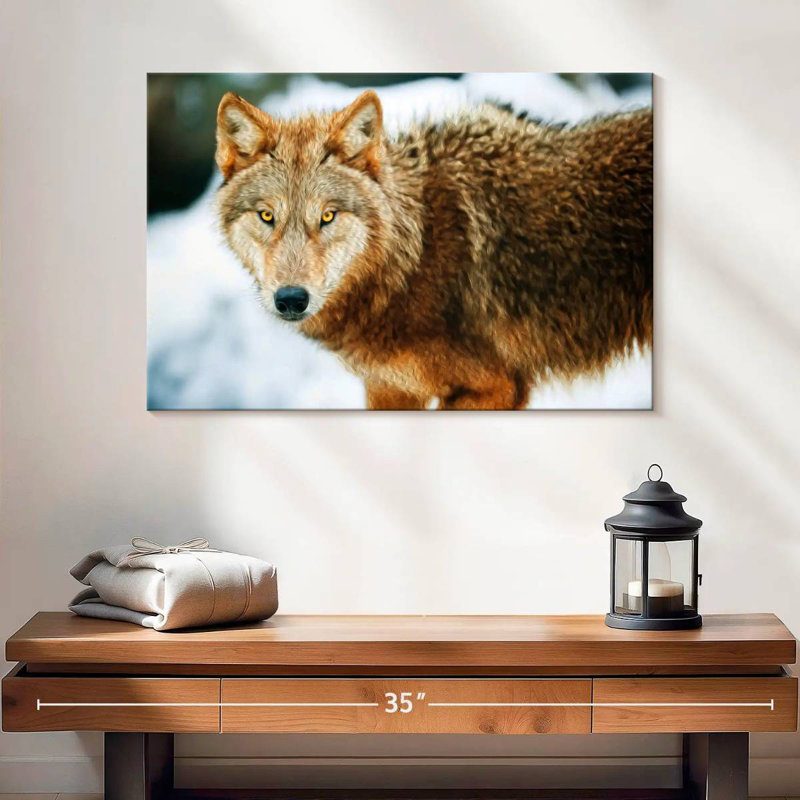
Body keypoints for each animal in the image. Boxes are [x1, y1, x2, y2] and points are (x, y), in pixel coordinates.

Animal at [214, 89, 652, 409]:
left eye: (327, 216)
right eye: (267, 216)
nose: (291, 299)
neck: (415, 254)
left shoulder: (497, 387)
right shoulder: (389, 389)